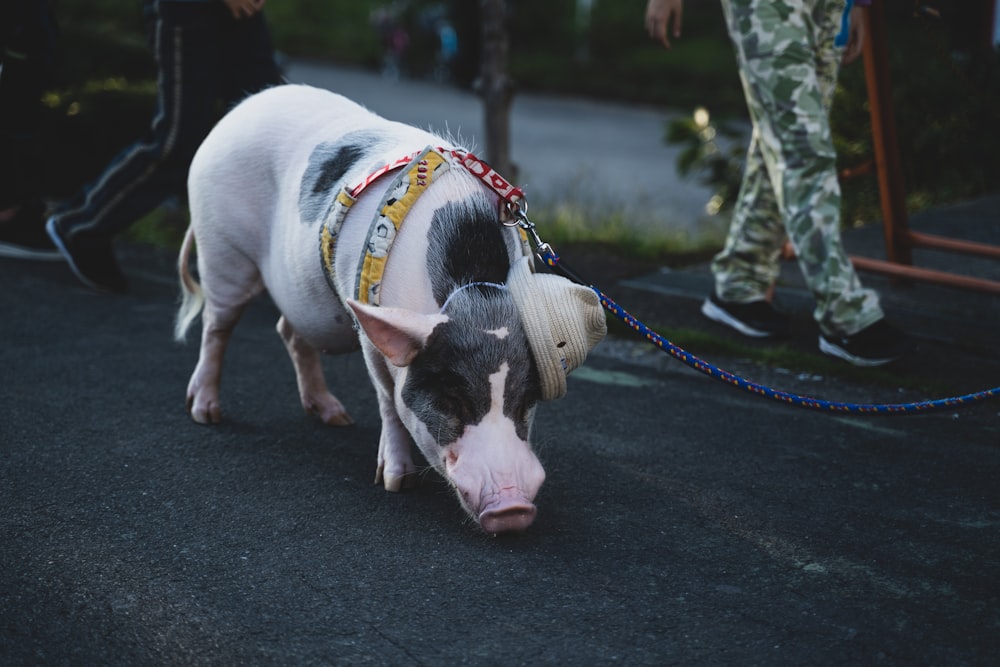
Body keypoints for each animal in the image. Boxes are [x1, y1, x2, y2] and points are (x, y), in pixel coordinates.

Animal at [176, 83, 604, 536]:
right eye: (451, 399)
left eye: (525, 400)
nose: (513, 509)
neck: (472, 293)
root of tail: (235, 114)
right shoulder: (370, 331)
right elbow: (388, 399)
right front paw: (397, 482)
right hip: (221, 249)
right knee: (216, 326)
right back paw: (206, 413)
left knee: (288, 331)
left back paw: (335, 417)